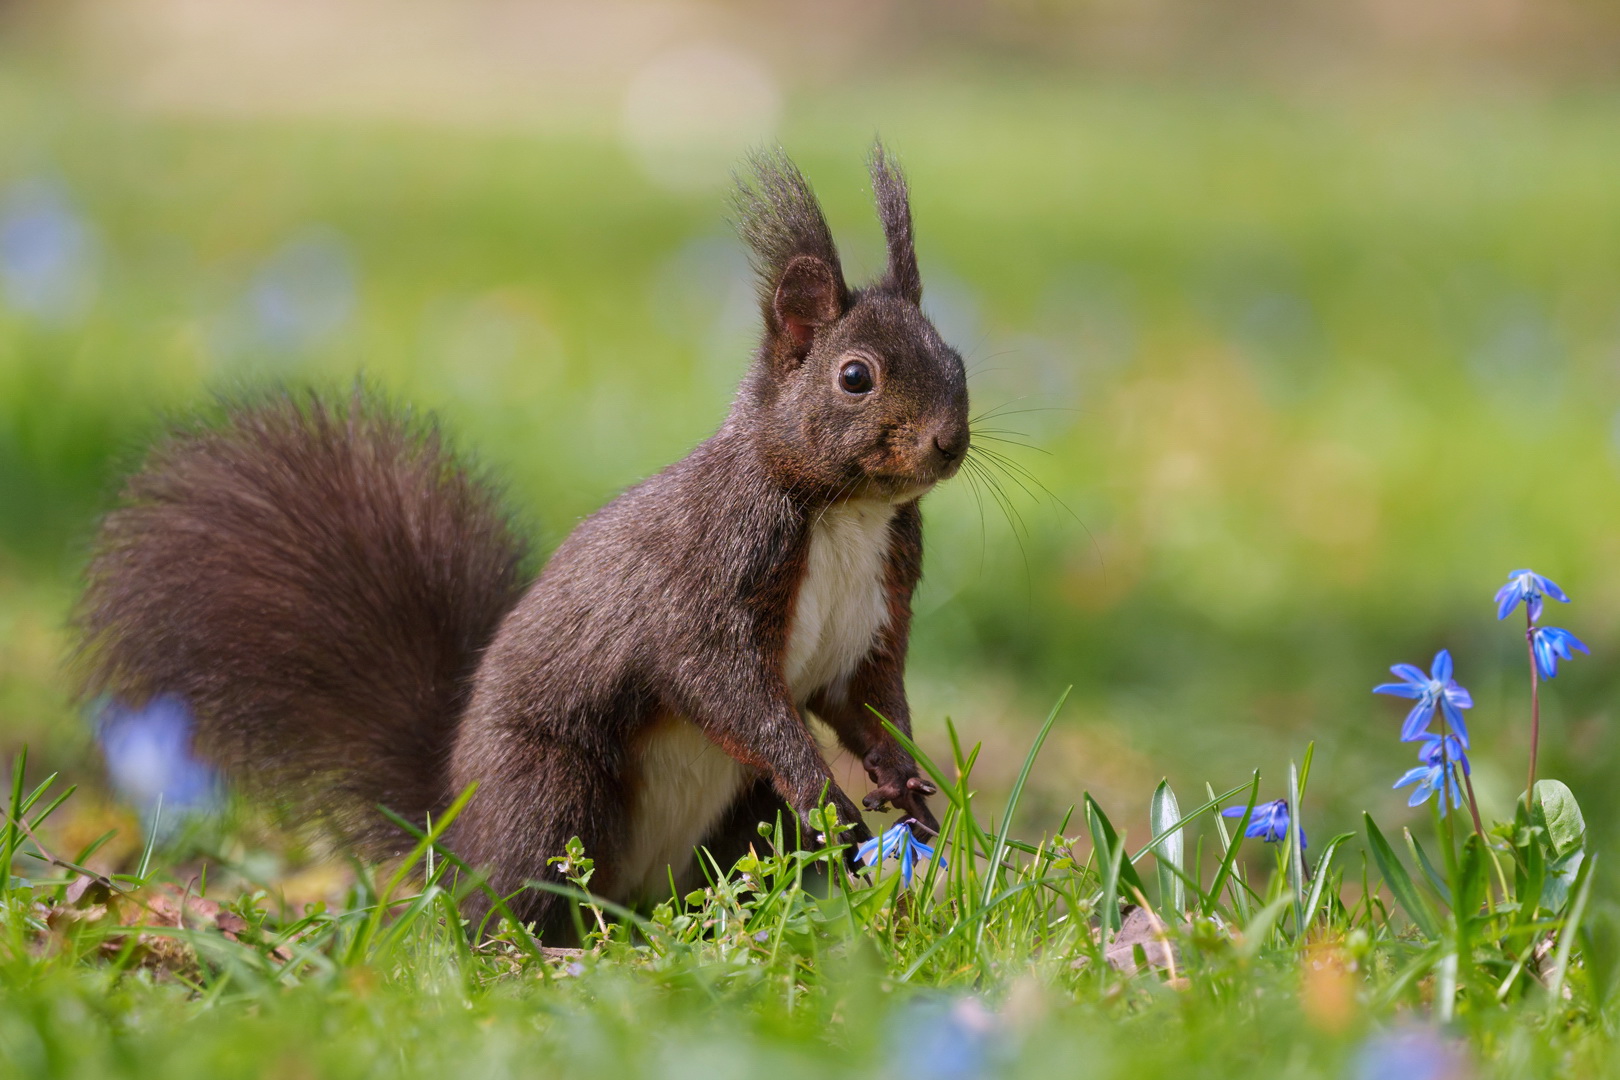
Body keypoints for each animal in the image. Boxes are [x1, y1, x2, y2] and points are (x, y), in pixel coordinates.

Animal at [76, 143, 965, 939]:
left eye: (955, 357)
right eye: (856, 377)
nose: (948, 443)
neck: (846, 512)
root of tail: (452, 836)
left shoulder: (874, 615)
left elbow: (865, 704)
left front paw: (909, 787)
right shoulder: (711, 575)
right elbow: (728, 690)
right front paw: (829, 798)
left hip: (741, 822)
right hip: (548, 792)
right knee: (519, 899)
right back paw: (544, 949)